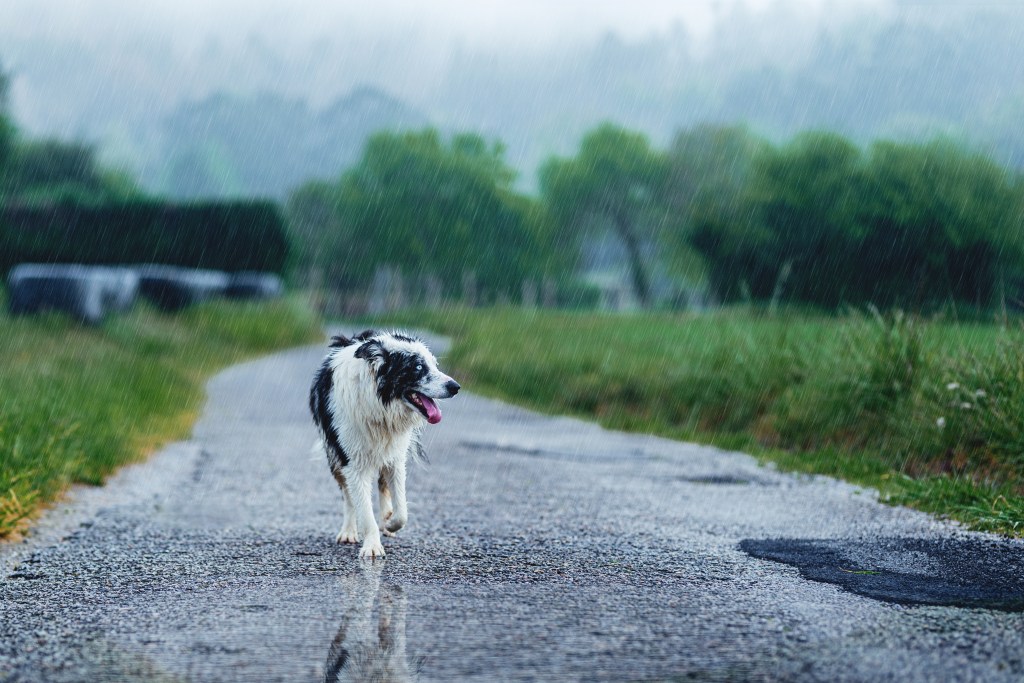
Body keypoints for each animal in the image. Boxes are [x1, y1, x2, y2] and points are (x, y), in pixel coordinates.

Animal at [307, 331, 460, 561]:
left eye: (435, 365)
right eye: (417, 367)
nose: (455, 387)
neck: (379, 405)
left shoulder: (396, 456)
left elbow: (402, 509)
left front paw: (389, 522)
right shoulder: (351, 461)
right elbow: (363, 509)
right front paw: (372, 546)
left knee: (382, 486)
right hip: (335, 455)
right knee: (348, 496)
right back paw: (348, 531)